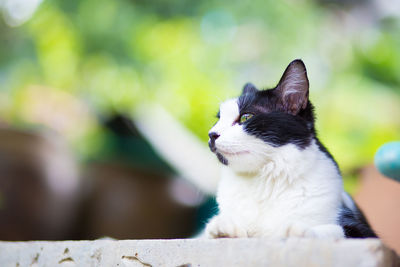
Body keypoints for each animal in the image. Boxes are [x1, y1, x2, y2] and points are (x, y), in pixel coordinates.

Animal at [206, 59, 378, 240]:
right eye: (218, 119)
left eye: (246, 117)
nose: (211, 134)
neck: (263, 180)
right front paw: (223, 228)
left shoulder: (362, 230)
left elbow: (331, 230)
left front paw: (297, 229)